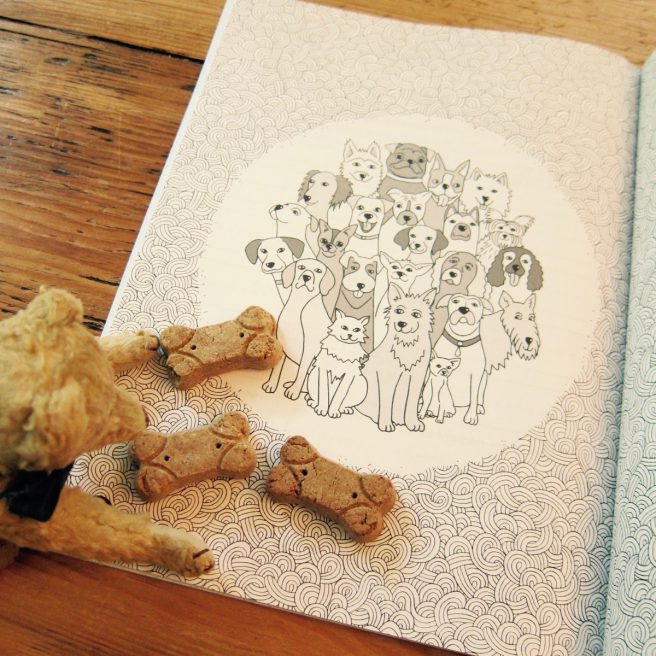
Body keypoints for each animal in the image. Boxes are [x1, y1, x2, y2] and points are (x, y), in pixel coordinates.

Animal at [263, 258, 335, 400]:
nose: (306, 276)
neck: (299, 304)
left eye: (318, 270)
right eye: (301, 267)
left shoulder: (308, 351)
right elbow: (276, 369)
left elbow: (301, 372)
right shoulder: (283, 346)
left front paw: (294, 391)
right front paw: (271, 385)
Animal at [358, 284, 436, 432]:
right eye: (399, 311)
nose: (401, 323)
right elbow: (387, 401)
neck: (407, 345)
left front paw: (413, 423)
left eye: (416, 314)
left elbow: (412, 403)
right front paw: (385, 424)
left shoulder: (417, 377)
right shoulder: (387, 376)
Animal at [432, 294, 493, 424]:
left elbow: (474, 396)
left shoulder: (476, 375)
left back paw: (478, 407)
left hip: (484, 378)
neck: (460, 340)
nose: (463, 309)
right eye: (455, 301)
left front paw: (471, 416)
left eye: (475, 304)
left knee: (478, 397)